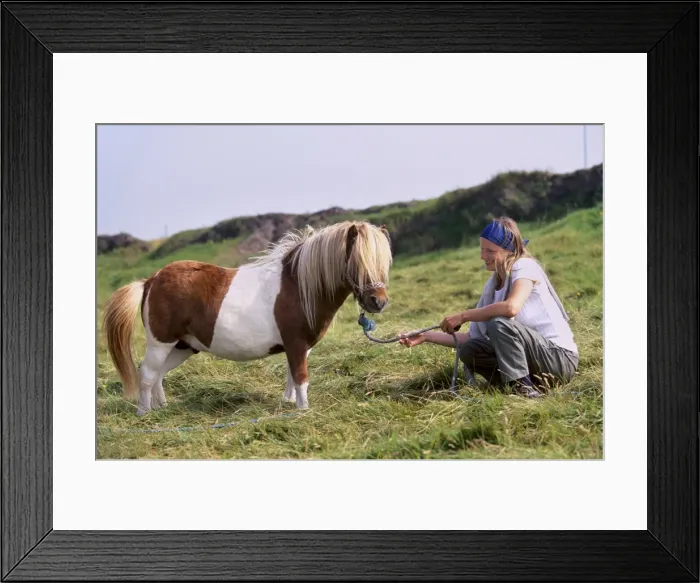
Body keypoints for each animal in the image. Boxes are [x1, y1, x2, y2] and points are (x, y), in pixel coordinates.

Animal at [102, 220, 393, 416]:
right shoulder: (296, 344)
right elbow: (301, 377)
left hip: (183, 346)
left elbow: (292, 375)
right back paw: (144, 413)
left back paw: (162, 407)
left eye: (384, 263)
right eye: (357, 262)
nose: (378, 302)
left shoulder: (298, 348)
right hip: (161, 342)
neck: (299, 285)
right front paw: (303, 411)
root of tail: (151, 280)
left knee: (159, 375)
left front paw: (289, 403)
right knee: (147, 373)